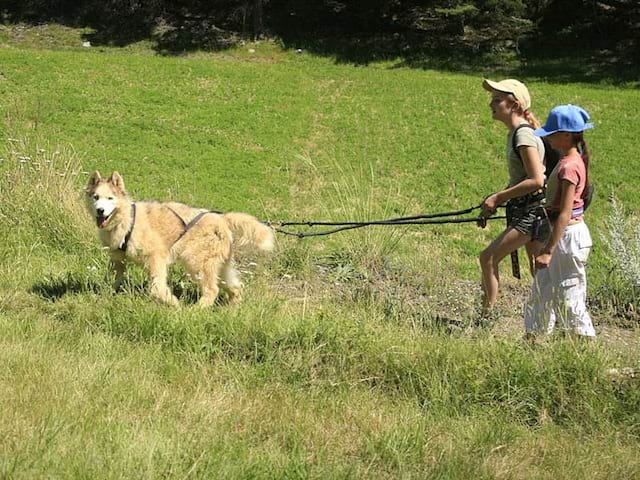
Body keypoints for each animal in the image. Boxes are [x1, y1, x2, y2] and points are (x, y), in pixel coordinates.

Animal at [85, 172, 276, 308]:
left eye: (110, 198)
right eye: (96, 197)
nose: (100, 210)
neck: (127, 220)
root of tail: (222, 219)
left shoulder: (156, 258)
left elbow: (157, 288)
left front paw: (172, 302)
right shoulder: (118, 260)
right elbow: (113, 280)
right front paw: (104, 295)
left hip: (197, 263)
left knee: (212, 289)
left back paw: (196, 311)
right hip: (221, 267)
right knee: (235, 287)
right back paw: (232, 310)